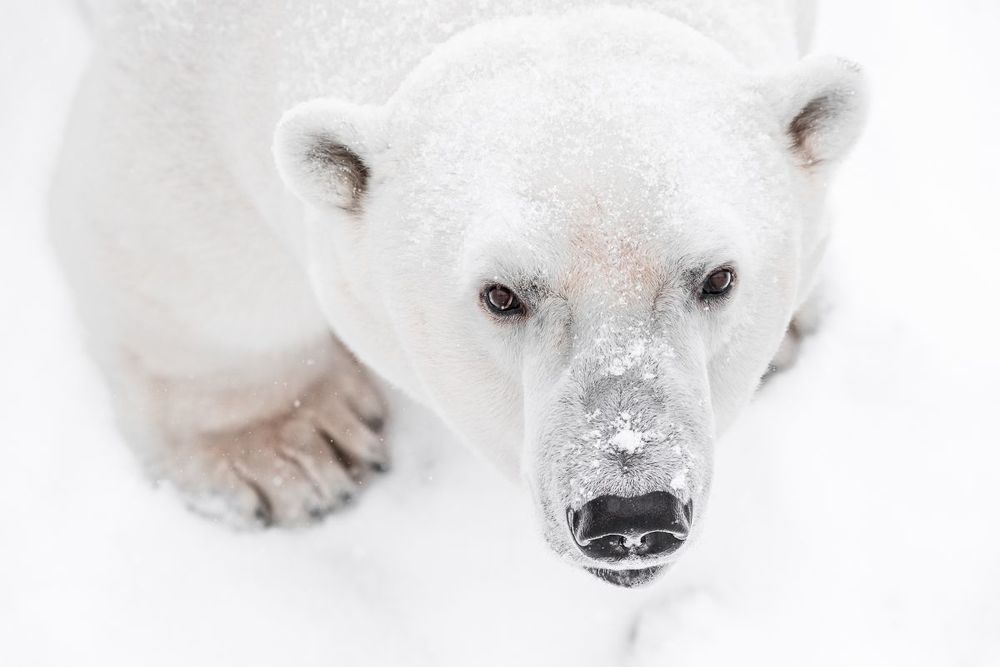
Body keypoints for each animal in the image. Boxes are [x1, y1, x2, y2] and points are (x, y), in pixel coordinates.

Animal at [51, 0, 866, 587]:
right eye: (501, 295)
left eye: (718, 278)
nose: (632, 512)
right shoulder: (180, 66)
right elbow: (184, 246)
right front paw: (290, 452)